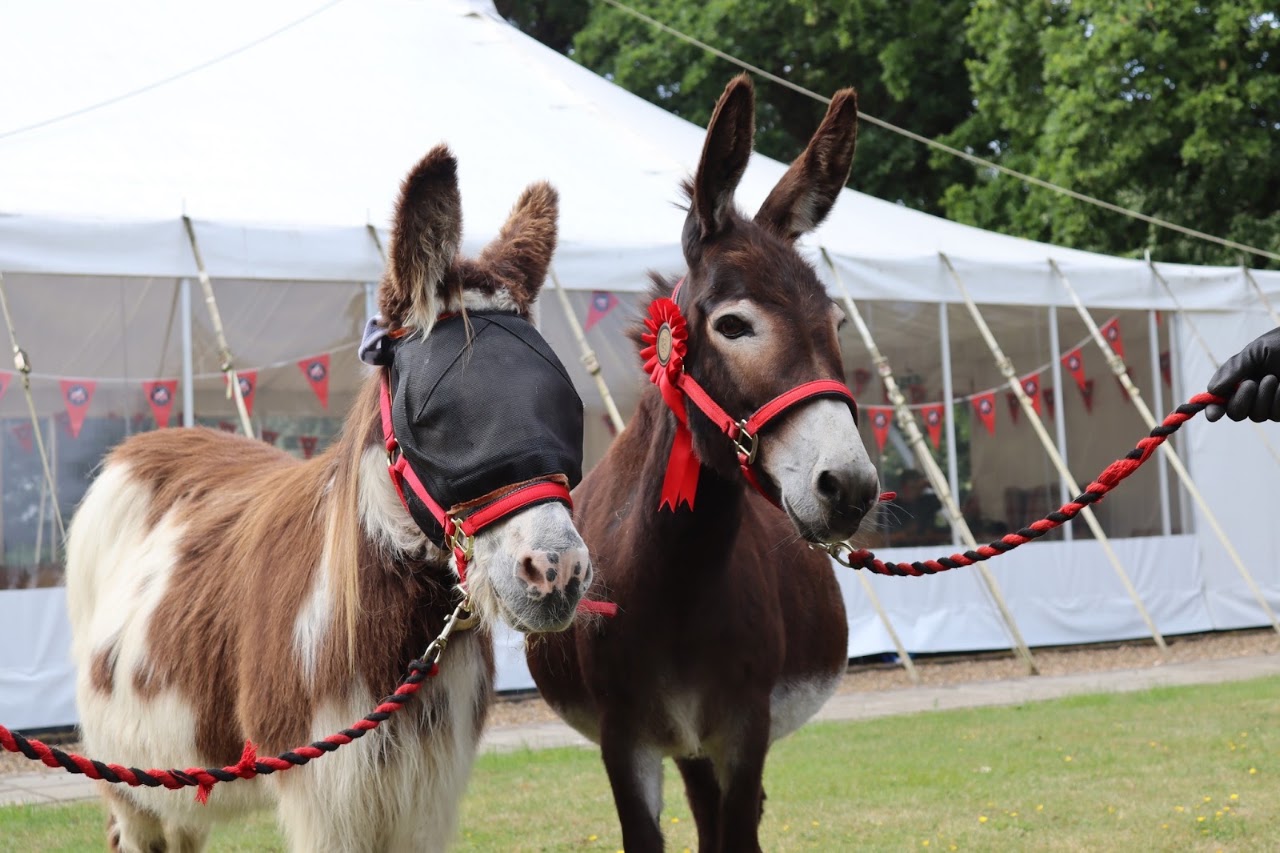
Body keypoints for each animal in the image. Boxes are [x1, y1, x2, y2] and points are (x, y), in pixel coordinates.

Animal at [66, 145, 593, 853]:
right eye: (436, 416)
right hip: (126, 779)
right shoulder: (329, 794)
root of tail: (146, 444)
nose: (558, 572)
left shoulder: (424, 796)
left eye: (565, 407)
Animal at [526, 75, 878, 852]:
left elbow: (736, 833)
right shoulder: (625, 741)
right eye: (734, 325)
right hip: (680, 745)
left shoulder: (746, 730)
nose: (850, 489)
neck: (675, 575)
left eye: (837, 324)